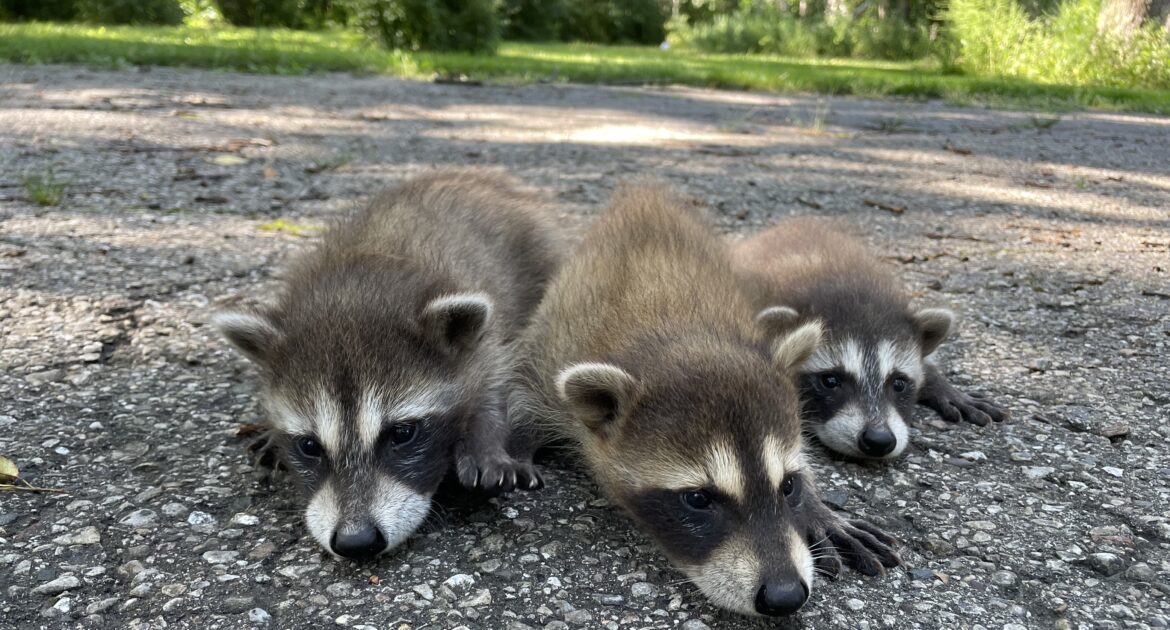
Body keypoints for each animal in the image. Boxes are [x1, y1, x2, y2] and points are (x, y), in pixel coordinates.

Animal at [215, 168, 561, 557]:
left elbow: (496, 385)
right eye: (309, 446)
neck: (357, 283)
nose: (356, 541)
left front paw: (486, 441)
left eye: (402, 433)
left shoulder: (486, 336)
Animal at [507, 183, 898, 613]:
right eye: (697, 499)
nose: (786, 596)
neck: (679, 331)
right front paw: (514, 448)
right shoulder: (554, 347)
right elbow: (521, 389)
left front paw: (815, 507)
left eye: (788, 486)